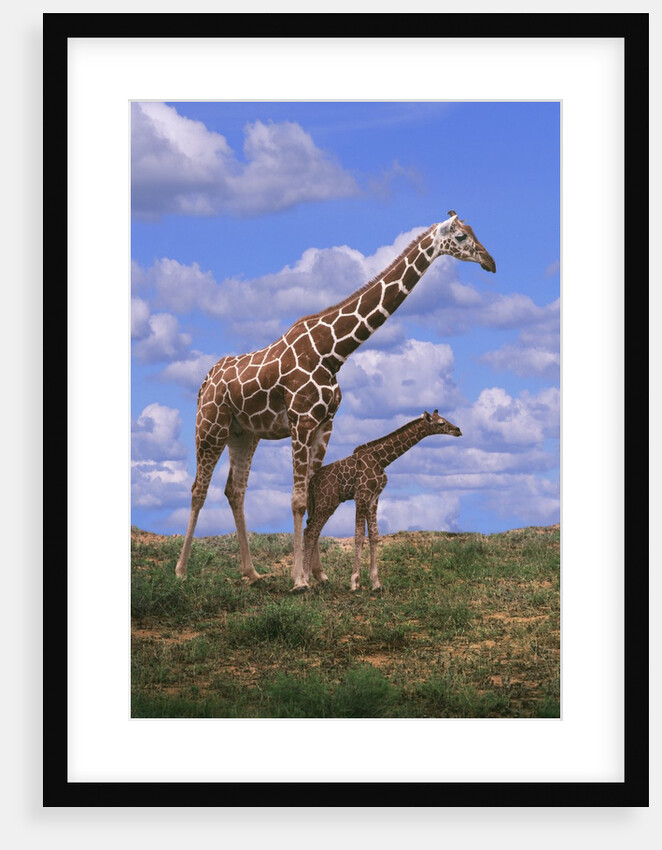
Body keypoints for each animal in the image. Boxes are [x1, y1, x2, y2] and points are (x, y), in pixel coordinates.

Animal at [303, 411, 462, 591]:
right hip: (327, 502)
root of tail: (312, 482)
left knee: (311, 531)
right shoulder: (361, 495)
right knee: (311, 532)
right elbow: (359, 536)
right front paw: (355, 582)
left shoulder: (374, 498)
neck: (381, 459)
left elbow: (374, 535)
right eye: (441, 423)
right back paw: (305, 580)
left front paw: (376, 583)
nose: (458, 430)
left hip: (320, 504)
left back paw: (315, 578)